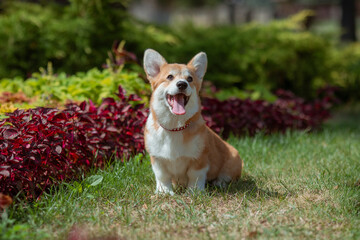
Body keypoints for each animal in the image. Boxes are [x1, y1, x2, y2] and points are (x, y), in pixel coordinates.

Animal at [143, 49, 242, 195]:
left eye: (189, 79)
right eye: (169, 77)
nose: (182, 84)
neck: (175, 126)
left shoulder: (199, 159)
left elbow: (195, 176)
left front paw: (194, 192)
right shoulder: (157, 159)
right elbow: (162, 176)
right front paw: (164, 192)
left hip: (234, 159)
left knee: (226, 177)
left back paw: (219, 183)